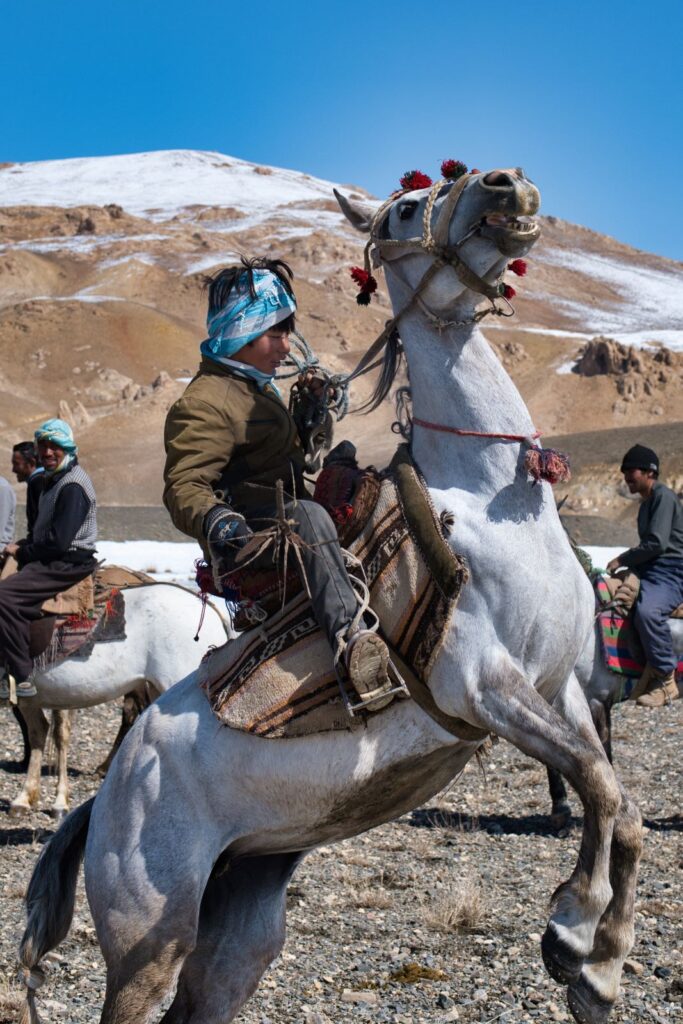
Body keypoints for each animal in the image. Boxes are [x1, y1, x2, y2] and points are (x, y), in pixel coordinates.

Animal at [20, 167, 643, 1024]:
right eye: (409, 207)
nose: (505, 186)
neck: (494, 502)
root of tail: (107, 797)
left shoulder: (561, 690)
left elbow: (621, 804)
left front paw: (600, 964)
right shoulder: (484, 686)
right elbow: (599, 785)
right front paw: (573, 933)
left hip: (243, 918)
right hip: (148, 934)